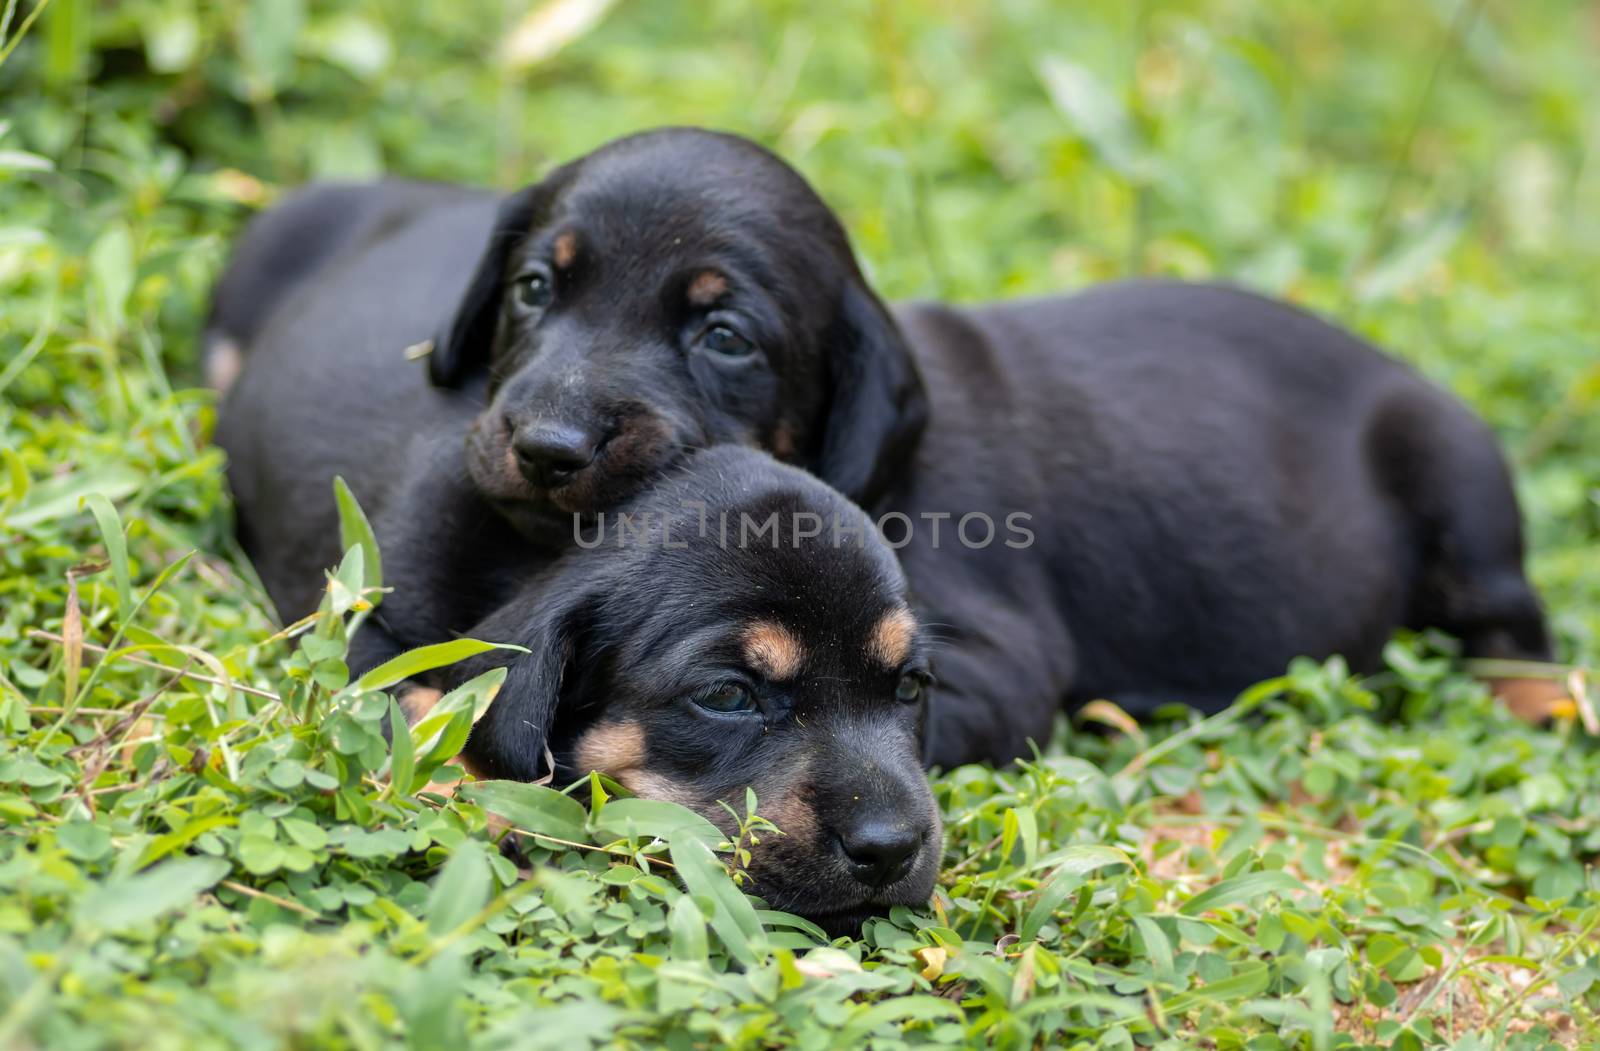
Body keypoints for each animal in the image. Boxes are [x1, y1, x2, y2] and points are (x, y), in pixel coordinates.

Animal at [212, 128, 1548, 771]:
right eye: (538, 286)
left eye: (726, 336)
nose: (543, 446)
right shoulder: (385, 611)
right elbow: (413, 670)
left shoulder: (986, 659)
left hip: (1456, 471)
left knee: (1514, 623)